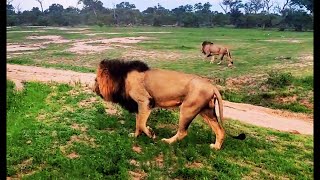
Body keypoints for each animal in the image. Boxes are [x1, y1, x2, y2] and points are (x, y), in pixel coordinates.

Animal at [93, 59, 245, 150]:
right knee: (220, 130)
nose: (93, 89)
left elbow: (141, 123)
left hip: (187, 108)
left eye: (96, 80)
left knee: (183, 132)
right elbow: (138, 123)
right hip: (206, 111)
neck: (122, 78)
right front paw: (135, 135)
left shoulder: (146, 101)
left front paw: (151, 134)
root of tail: (213, 86)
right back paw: (216, 147)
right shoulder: (138, 105)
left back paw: (167, 142)